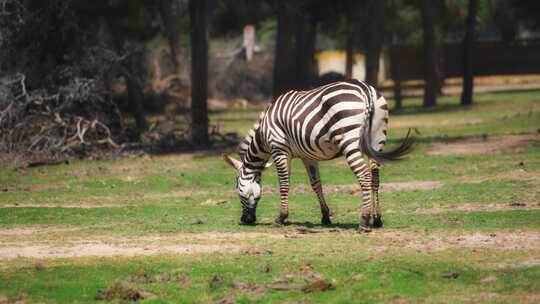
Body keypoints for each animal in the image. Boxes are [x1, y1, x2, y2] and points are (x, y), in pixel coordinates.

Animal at [224, 79, 414, 232]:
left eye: (237, 189)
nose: (245, 220)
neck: (263, 135)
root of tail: (366, 90)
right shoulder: (308, 156)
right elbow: (316, 184)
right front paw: (325, 216)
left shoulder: (279, 149)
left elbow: (284, 184)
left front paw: (281, 217)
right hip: (376, 140)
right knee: (375, 179)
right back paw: (377, 220)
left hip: (349, 139)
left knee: (364, 176)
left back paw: (364, 222)